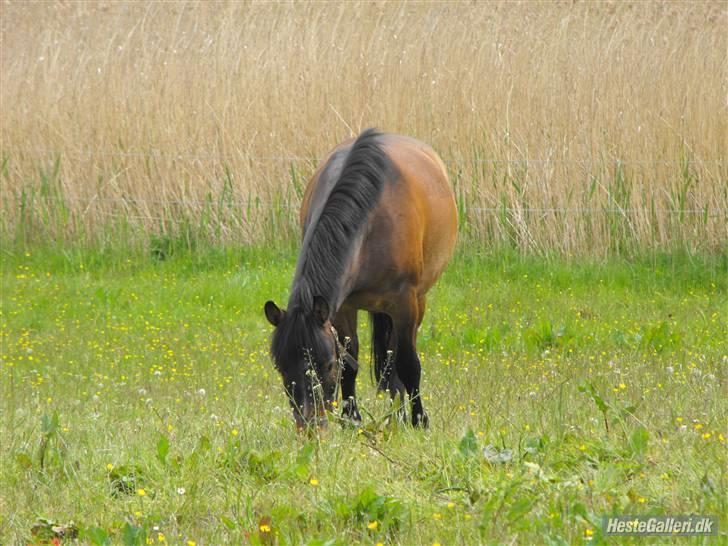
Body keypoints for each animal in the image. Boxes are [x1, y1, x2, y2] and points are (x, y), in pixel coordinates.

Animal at [262, 130, 456, 428]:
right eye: (280, 366)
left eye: (326, 365)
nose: (309, 424)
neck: (372, 221)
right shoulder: (341, 307)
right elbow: (350, 361)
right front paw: (351, 418)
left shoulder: (405, 303)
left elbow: (408, 363)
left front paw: (418, 420)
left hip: (418, 301)